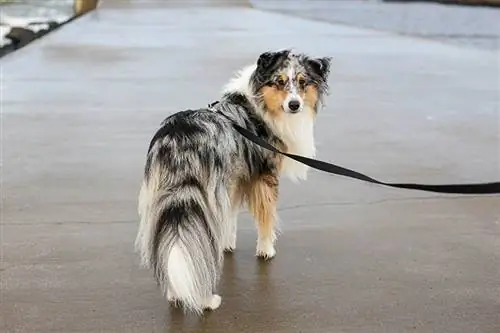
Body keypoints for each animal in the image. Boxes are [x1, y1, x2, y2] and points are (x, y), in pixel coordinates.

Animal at [137, 50, 332, 314]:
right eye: (279, 81)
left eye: (302, 82)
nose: (295, 105)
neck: (257, 104)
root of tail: (180, 138)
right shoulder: (263, 176)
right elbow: (266, 218)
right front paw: (266, 250)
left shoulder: (234, 180)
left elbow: (230, 216)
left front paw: (228, 244)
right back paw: (207, 301)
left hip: (165, 199)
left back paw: (175, 294)